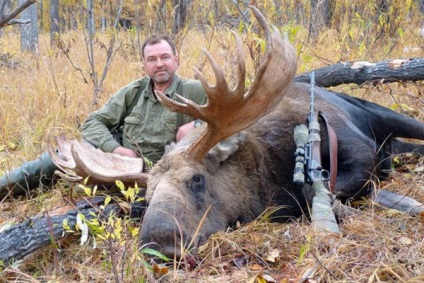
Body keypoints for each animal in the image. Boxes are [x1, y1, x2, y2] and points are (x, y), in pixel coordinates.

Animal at [46, 6, 424, 260]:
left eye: (197, 179)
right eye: (147, 196)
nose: (160, 243)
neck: (268, 175)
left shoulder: (358, 151)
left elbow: (332, 187)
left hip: (382, 114)